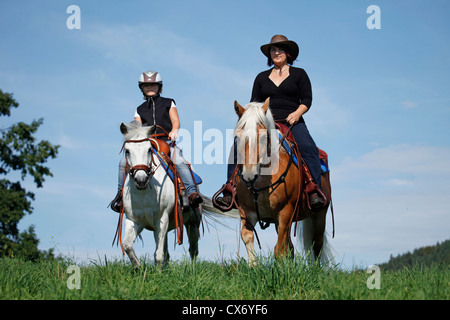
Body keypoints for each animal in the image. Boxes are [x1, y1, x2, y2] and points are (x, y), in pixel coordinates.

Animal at [116, 121, 200, 266]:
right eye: (127, 151)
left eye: (149, 149)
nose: (141, 180)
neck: (144, 194)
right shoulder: (133, 220)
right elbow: (127, 245)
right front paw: (138, 267)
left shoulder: (162, 219)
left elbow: (159, 255)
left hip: (193, 222)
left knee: (193, 250)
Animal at [234, 99, 332, 266]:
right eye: (237, 137)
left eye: (263, 137)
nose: (249, 176)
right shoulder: (247, 211)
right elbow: (247, 236)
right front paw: (253, 266)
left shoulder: (285, 212)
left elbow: (280, 250)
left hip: (320, 213)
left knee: (317, 244)